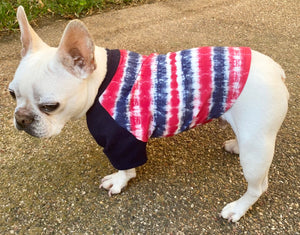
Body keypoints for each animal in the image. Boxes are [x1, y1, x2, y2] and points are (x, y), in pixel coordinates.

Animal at [9, 5, 288, 222]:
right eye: (12, 94)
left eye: (49, 106)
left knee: (258, 186)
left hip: (256, 148)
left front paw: (120, 181)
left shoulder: (122, 140)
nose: (21, 118)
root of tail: (276, 69)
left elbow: (125, 167)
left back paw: (238, 208)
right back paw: (235, 145)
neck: (99, 81)